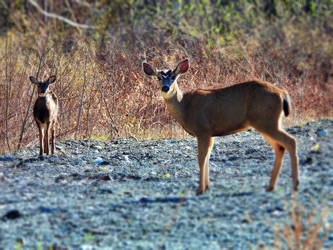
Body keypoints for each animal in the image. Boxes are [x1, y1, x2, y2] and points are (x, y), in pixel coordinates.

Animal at [142, 59, 298, 195]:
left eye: (173, 77)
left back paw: (295, 185)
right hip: (266, 122)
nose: (165, 88)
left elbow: (201, 159)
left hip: (266, 121)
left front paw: (200, 190)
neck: (185, 107)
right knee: (280, 147)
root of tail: (282, 93)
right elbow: (207, 158)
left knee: (291, 141)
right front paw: (207, 187)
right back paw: (271, 187)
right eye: (158, 77)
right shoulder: (210, 134)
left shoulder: (203, 129)